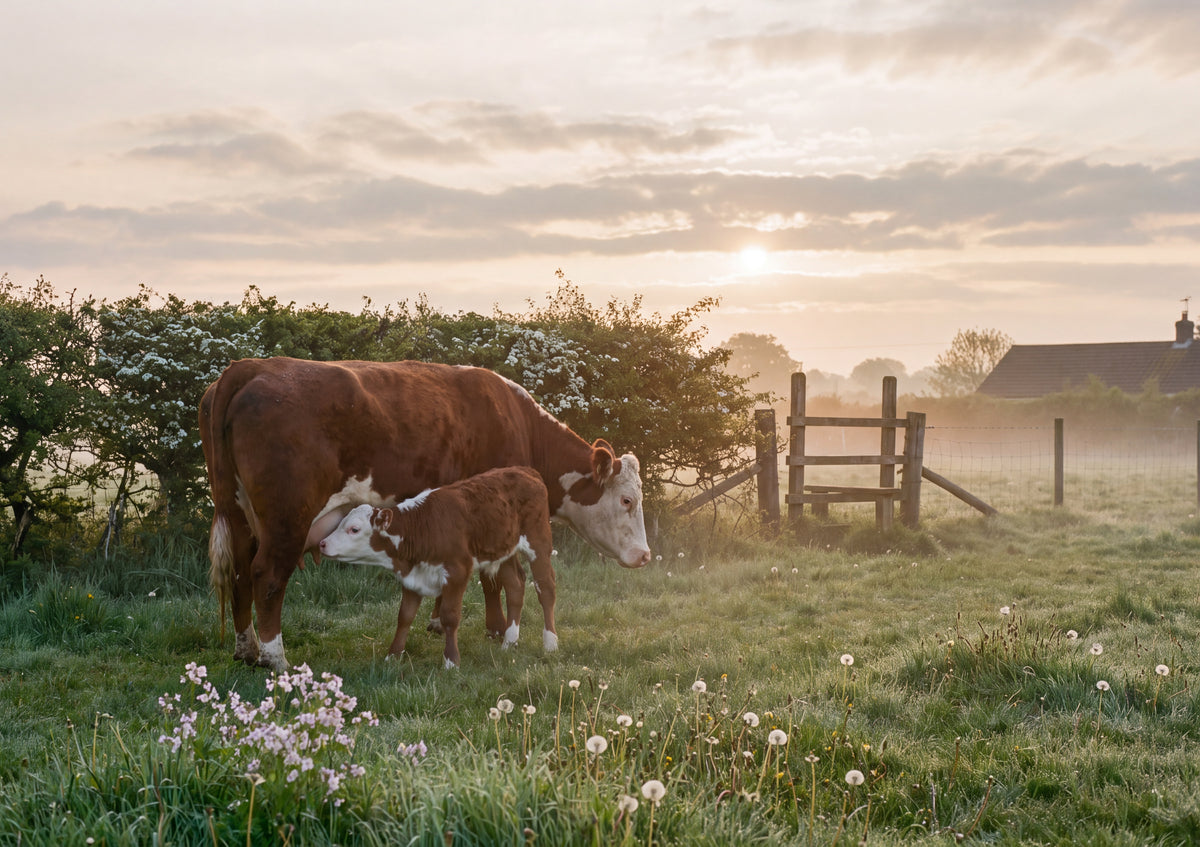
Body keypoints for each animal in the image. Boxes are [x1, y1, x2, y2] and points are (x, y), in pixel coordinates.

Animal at [318, 466, 552, 668]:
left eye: (354, 529)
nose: (322, 543)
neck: (422, 528)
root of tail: (523, 470)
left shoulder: (457, 571)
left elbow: (450, 616)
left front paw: (451, 661)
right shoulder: (411, 577)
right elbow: (404, 616)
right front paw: (393, 656)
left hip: (538, 542)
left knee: (546, 588)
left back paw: (550, 642)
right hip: (504, 551)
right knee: (515, 586)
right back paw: (509, 642)